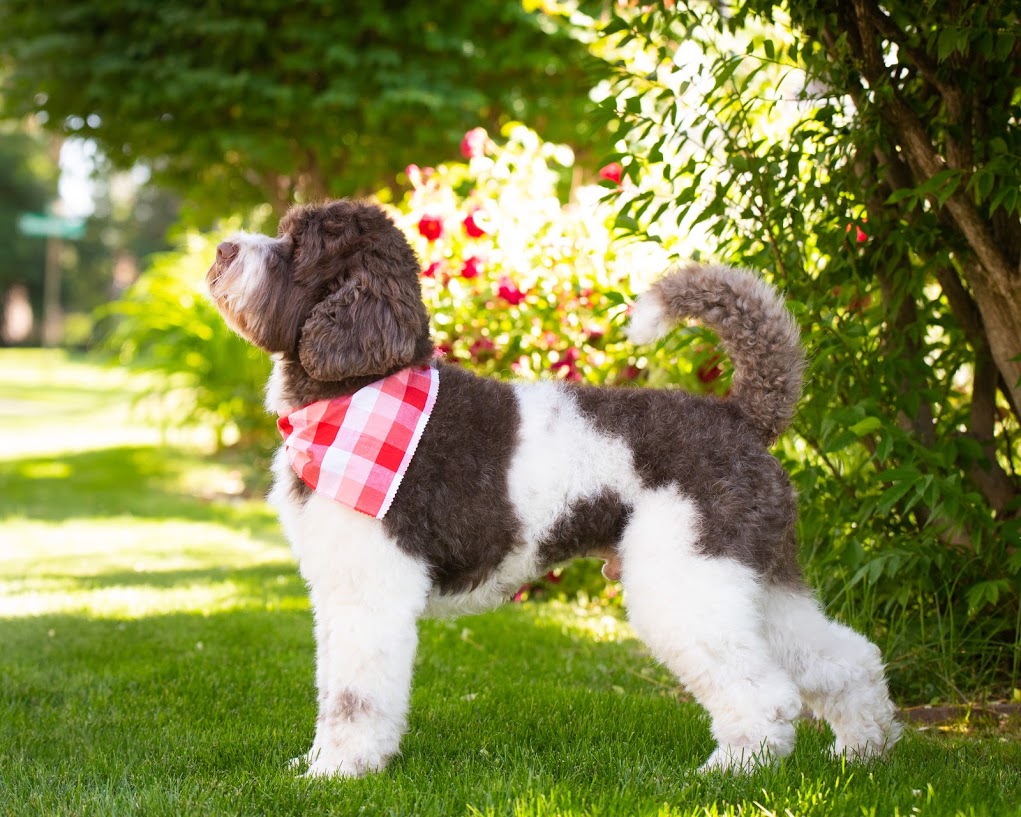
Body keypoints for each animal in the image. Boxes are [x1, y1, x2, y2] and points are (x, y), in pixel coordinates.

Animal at [207, 198, 902, 780]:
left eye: (297, 247)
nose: (221, 248)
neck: (358, 390)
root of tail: (740, 416)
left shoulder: (371, 590)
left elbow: (354, 696)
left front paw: (337, 773)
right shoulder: (338, 592)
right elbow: (334, 688)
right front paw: (315, 762)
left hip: (686, 581)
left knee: (768, 693)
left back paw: (733, 770)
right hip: (754, 578)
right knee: (846, 657)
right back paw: (863, 749)